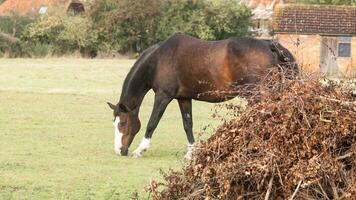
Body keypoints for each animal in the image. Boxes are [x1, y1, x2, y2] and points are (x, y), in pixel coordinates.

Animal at [106, 32, 298, 158]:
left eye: (122, 123)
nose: (119, 150)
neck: (158, 60)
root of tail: (270, 45)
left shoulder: (163, 96)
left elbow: (152, 123)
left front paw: (140, 149)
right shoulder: (183, 98)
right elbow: (187, 124)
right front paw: (191, 153)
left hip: (256, 94)